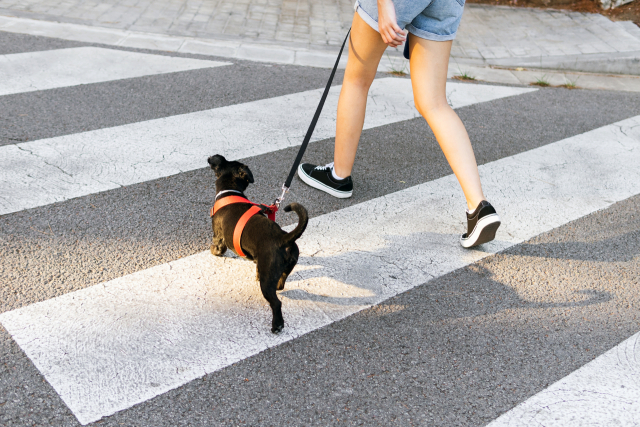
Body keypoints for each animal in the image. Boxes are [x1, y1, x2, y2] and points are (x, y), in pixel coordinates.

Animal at [209, 155, 308, 334]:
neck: (230, 190)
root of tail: (283, 239)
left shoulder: (219, 236)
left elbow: (217, 246)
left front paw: (214, 251)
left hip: (267, 282)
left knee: (276, 302)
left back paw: (277, 325)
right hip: (283, 270)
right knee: (280, 284)